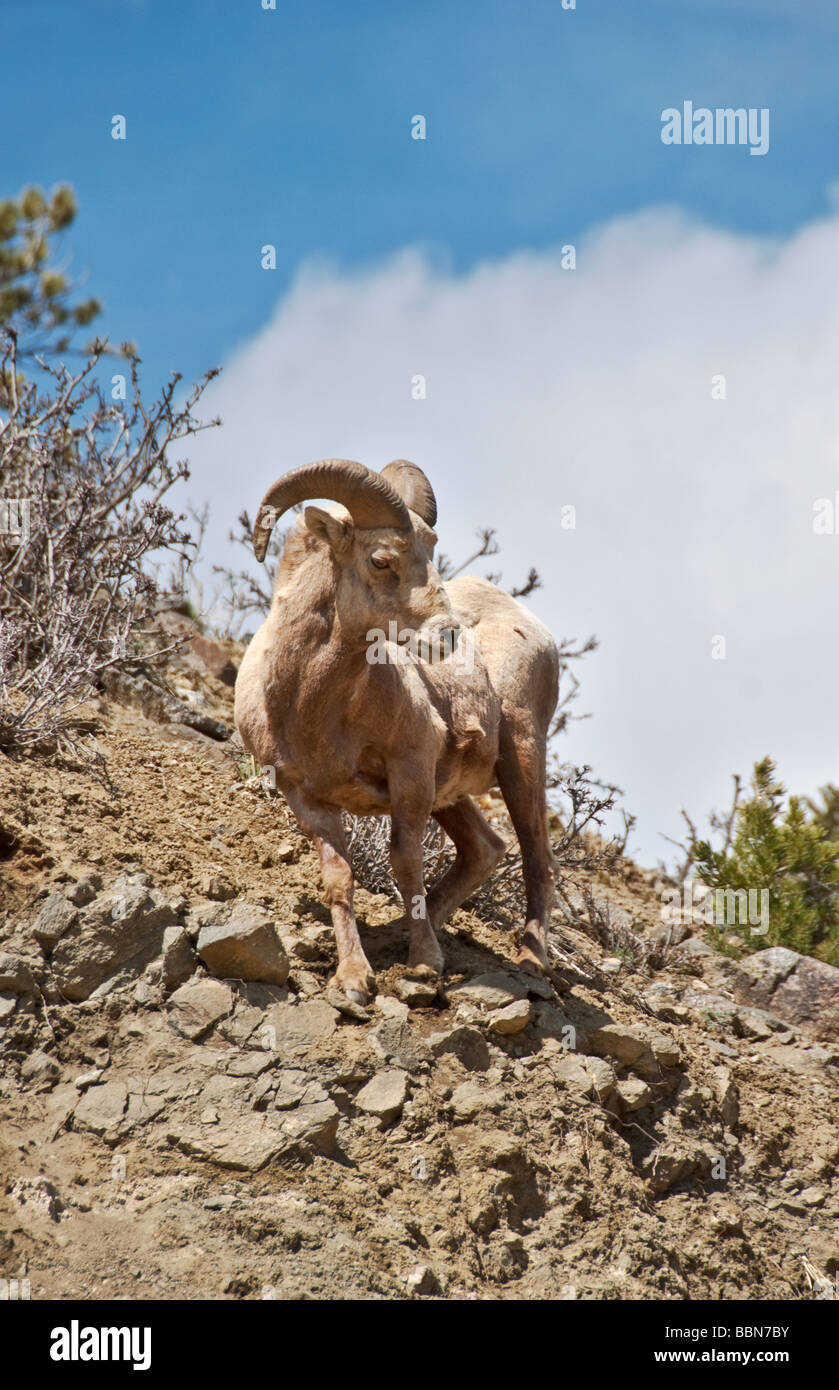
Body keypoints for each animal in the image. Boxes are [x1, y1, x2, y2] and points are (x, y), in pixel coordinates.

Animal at [234, 461, 558, 1006]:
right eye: (381, 559)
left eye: (431, 551)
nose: (449, 634)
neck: (309, 708)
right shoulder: (307, 798)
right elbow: (339, 879)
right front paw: (352, 980)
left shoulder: (410, 772)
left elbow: (406, 864)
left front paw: (424, 967)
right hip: (451, 793)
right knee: (486, 849)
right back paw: (393, 935)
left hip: (522, 761)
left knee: (537, 857)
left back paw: (531, 961)